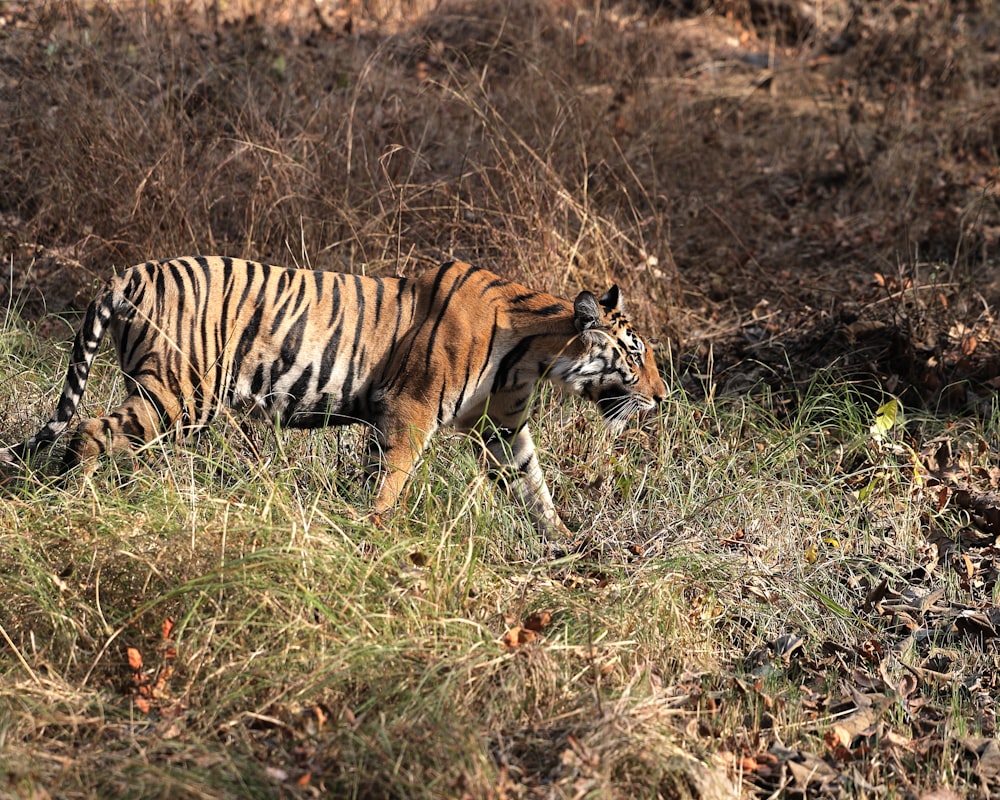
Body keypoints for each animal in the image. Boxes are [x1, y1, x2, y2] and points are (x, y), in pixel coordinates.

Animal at [1, 258, 672, 536]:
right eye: (636, 355)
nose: (664, 399)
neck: (531, 358)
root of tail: (131, 273)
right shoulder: (409, 410)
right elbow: (392, 479)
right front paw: (374, 534)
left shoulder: (500, 428)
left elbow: (534, 484)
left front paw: (563, 541)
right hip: (181, 392)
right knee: (90, 430)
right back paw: (76, 501)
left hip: (164, 393)